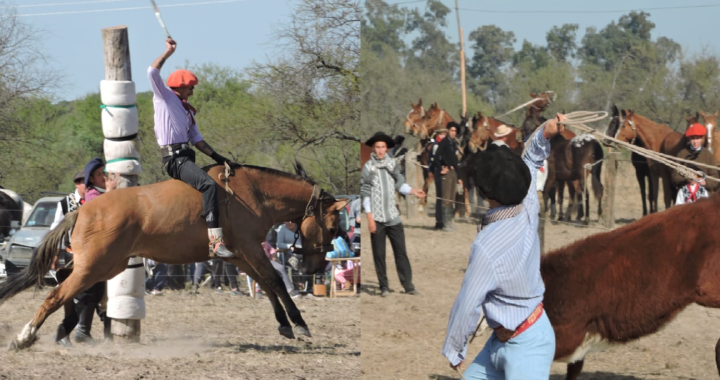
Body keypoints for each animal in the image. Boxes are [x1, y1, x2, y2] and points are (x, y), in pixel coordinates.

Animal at [0, 163, 348, 348]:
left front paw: (284, 325)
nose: (315, 266)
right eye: (333, 227)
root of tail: (83, 209)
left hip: (103, 265)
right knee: (55, 294)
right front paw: (299, 324)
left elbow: (265, 283)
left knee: (63, 281)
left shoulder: (237, 255)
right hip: (95, 266)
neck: (253, 194)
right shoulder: (250, 249)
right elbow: (274, 280)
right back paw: (25, 336)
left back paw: (66, 328)